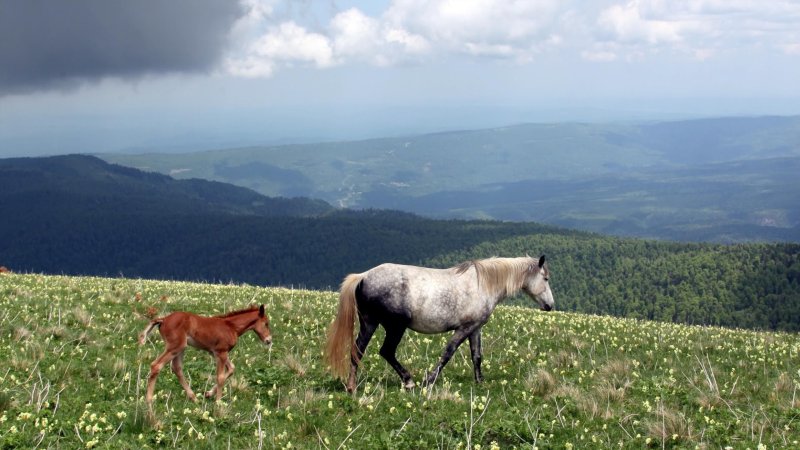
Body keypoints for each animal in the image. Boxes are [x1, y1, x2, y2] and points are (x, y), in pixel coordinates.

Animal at [138, 305, 272, 405]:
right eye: (266, 323)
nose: (269, 340)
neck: (231, 327)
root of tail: (163, 319)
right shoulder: (221, 353)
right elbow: (220, 377)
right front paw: (218, 403)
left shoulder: (216, 353)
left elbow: (231, 369)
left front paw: (208, 394)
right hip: (175, 347)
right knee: (156, 365)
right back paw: (148, 401)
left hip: (180, 348)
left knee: (177, 368)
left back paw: (194, 398)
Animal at [324, 255, 554, 392]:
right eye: (546, 278)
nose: (550, 305)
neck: (483, 284)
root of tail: (363, 276)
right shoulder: (464, 328)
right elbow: (448, 352)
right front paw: (429, 380)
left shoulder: (475, 328)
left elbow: (477, 356)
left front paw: (480, 381)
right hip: (395, 327)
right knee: (386, 351)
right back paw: (408, 381)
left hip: (369, 323)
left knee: (357, 351)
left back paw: (351, 387)